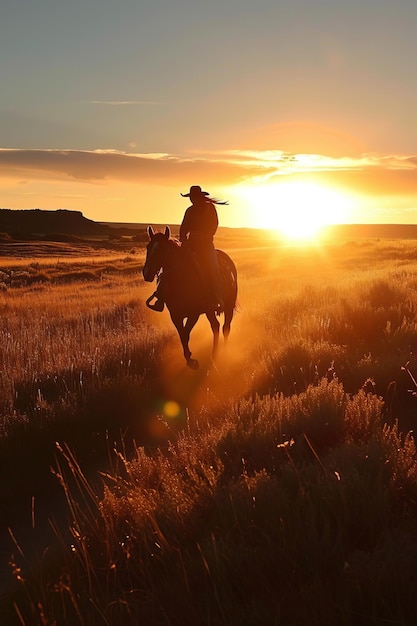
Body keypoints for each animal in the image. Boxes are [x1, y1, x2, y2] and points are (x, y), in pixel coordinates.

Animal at [142, 225, 237, 368]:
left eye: (163, 248)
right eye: (148, 247)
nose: (147, 273)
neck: (182, 280)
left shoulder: (194, 314)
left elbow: (186, 333)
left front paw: (191, 360)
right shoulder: (175, 315)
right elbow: (182, 335)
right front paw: (189, 358)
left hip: (229, 306)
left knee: (226, 328)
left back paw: (223, 352)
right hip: (209, 310)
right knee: (215, 326)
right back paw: (214, 353)